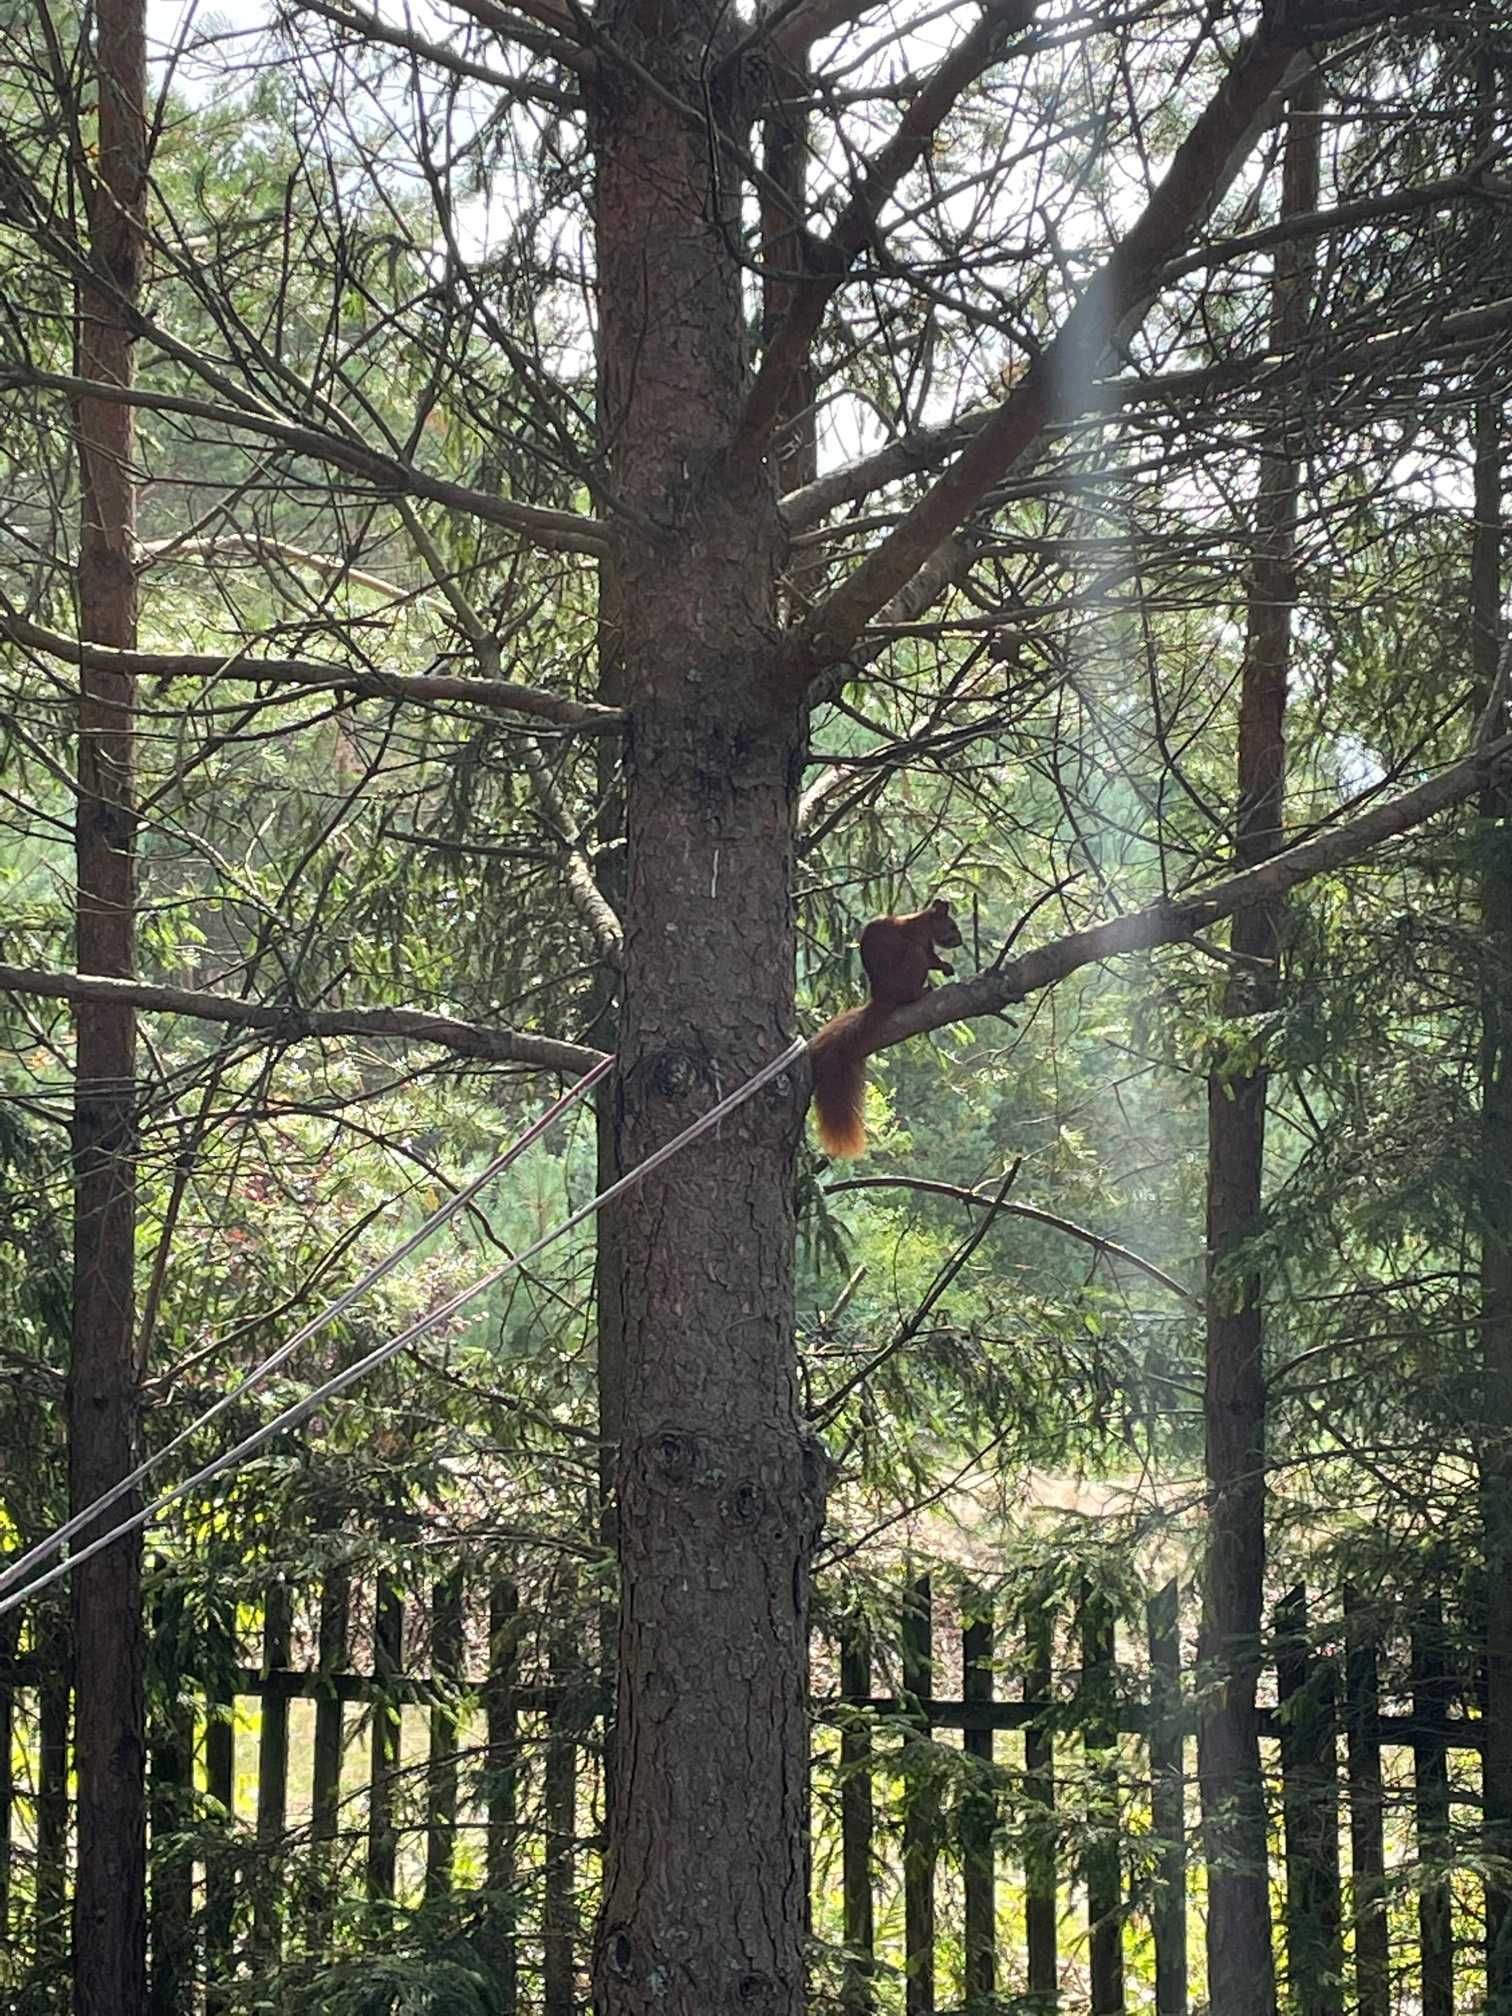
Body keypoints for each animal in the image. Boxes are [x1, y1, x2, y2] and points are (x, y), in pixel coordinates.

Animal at [810, 895, 963, 1161]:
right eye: (952, 926)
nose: (961, 940)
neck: (922, 921)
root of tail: (883, 997)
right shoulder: (920, 942)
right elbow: (931, 958)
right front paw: (945, 966)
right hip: (911, 963)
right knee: (913, 979)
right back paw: (920, 992)